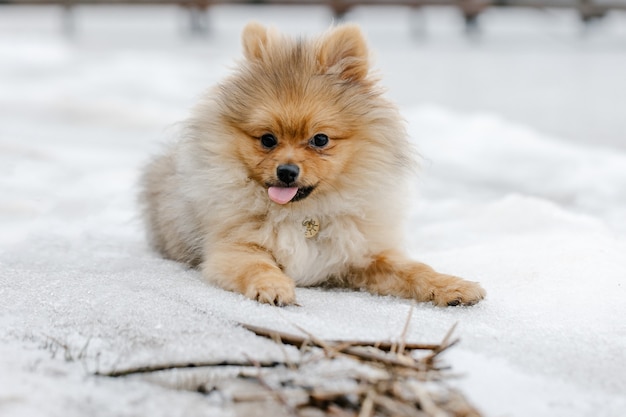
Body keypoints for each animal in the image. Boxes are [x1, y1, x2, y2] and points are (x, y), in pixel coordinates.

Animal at [140, 22, 482, 306]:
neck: (303, 216)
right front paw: (273, 286)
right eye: (267, 139)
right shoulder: (233, 249)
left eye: (320, 139)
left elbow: (413, 269)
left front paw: (452, 286)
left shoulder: (365, 254)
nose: (286, 171)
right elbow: (257, 265)